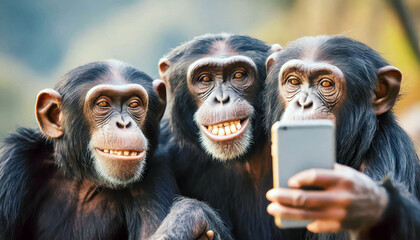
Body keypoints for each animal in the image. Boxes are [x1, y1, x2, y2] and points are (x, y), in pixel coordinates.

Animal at [0, 60, 231, 240]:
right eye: (103, 104)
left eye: (134, 104)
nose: (124, 123)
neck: (84, 180)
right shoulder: (13, 160)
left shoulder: (155, 171)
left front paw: (189, 218)